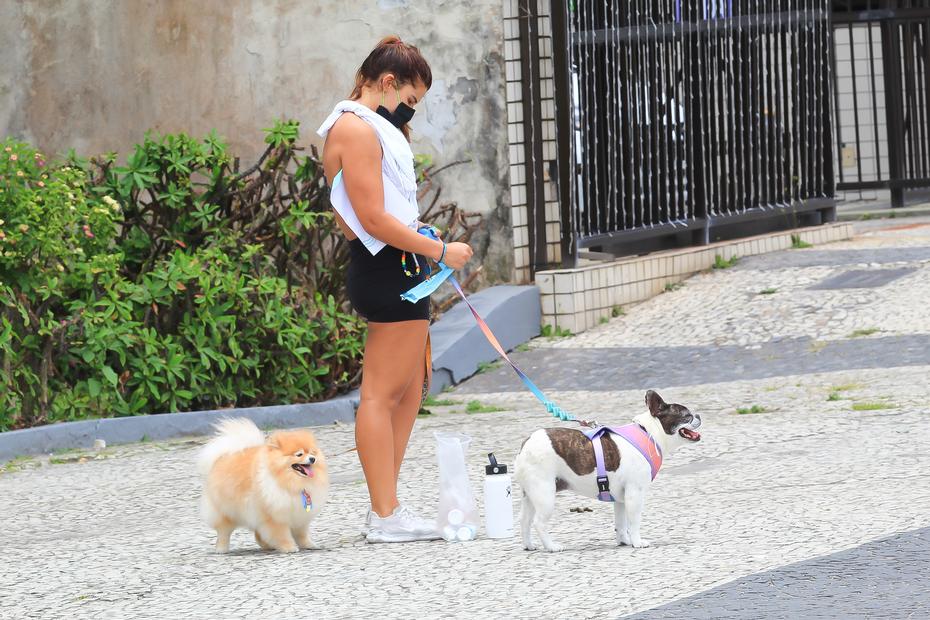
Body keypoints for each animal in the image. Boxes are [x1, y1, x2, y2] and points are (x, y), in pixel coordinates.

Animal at [198, 418, 328, 556]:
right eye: (299, 454)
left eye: (312, 452)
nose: (313, 459)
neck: (290, 482)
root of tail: (223, 456)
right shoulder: (275, 517)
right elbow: (282, 535)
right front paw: (288, 547)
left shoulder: (299, 515)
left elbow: (302, 534)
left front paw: (309, 545)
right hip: (226, 512)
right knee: (223, 532)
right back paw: (221, 549)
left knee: (258, 533)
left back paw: (267, 546)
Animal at [512, 392, 700, 552]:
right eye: (687, 415)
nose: (698, 415)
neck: (649, 434)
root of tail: (526, 444)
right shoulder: (635, 493)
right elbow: (634, 522)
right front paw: (637, 542)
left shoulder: (621, 498)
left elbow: (621, 523)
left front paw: (625, 541)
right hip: (545, 494)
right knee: (539, 522)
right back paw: (551, 546)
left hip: (530, 494)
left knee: (525, 520)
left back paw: (529, 545)